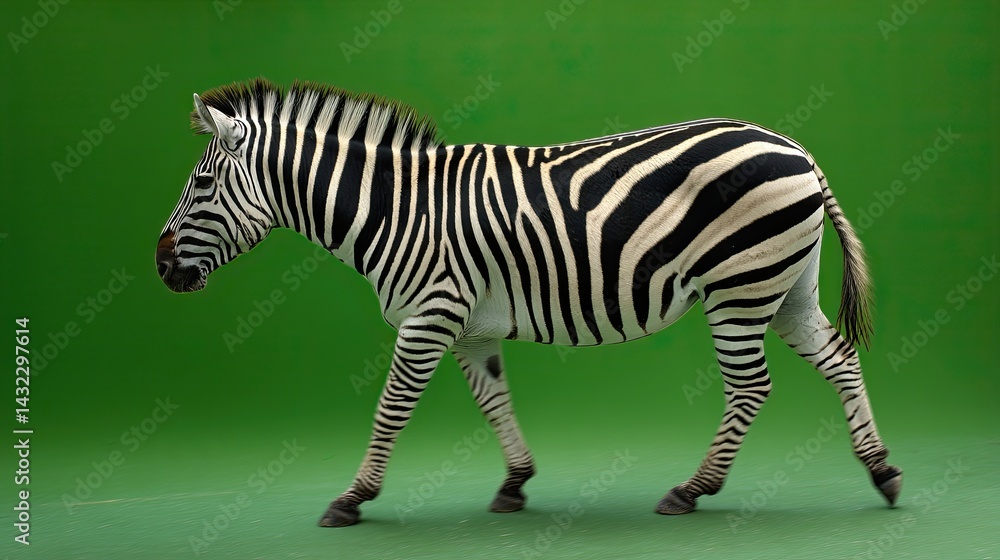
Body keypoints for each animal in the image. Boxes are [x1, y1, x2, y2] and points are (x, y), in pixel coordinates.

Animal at [155, 78, 902, 527]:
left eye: (202, 184)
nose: (160, 267)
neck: (395, 209)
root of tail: (799, 151)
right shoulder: (469, 328)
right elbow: (494, 400)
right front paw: (516, 483)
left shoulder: (428, 316)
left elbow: (392, 407)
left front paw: (354, 496)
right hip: (785, 289)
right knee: (839, 361)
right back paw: (882, 472)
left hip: (739, 291)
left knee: (751, 388)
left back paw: (693, 491)